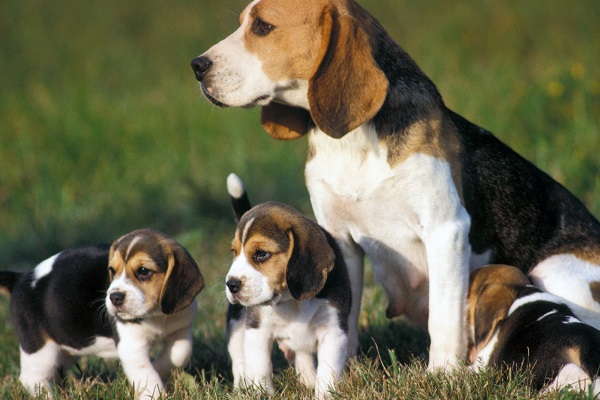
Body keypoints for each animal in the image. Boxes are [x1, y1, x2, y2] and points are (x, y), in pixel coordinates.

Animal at [0, 230, 204, 398]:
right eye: (112, 270)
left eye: (143, 271)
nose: (115, 297)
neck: (158, 316)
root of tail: (20, 279)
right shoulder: (132, 345)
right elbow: (145, 373)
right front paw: (153, 393)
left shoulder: (181, 327)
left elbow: (181, 352)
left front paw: (160, 367)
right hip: (40, 348)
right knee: (33, 378)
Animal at [191, 0, 600, 370]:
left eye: (262, 27)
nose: (196, 66)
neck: (353, 143)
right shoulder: (338, 237)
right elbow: (345, 310)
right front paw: (344, 368)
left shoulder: (445, 231)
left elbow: (444, 320)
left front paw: (443, 375)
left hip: (553, 271)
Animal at [224, 173, 352, 398]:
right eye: (234, 252)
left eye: (261, 254)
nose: (231, 284)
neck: (291, 300)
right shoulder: (257, 330)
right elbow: (260, 367)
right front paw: (262, 393)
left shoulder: (333, 332)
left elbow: (328, 372)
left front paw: (324, 394)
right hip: (236, 324)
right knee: (239, 360)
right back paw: (241, 388)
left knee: (302, 354)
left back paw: (308, 379)